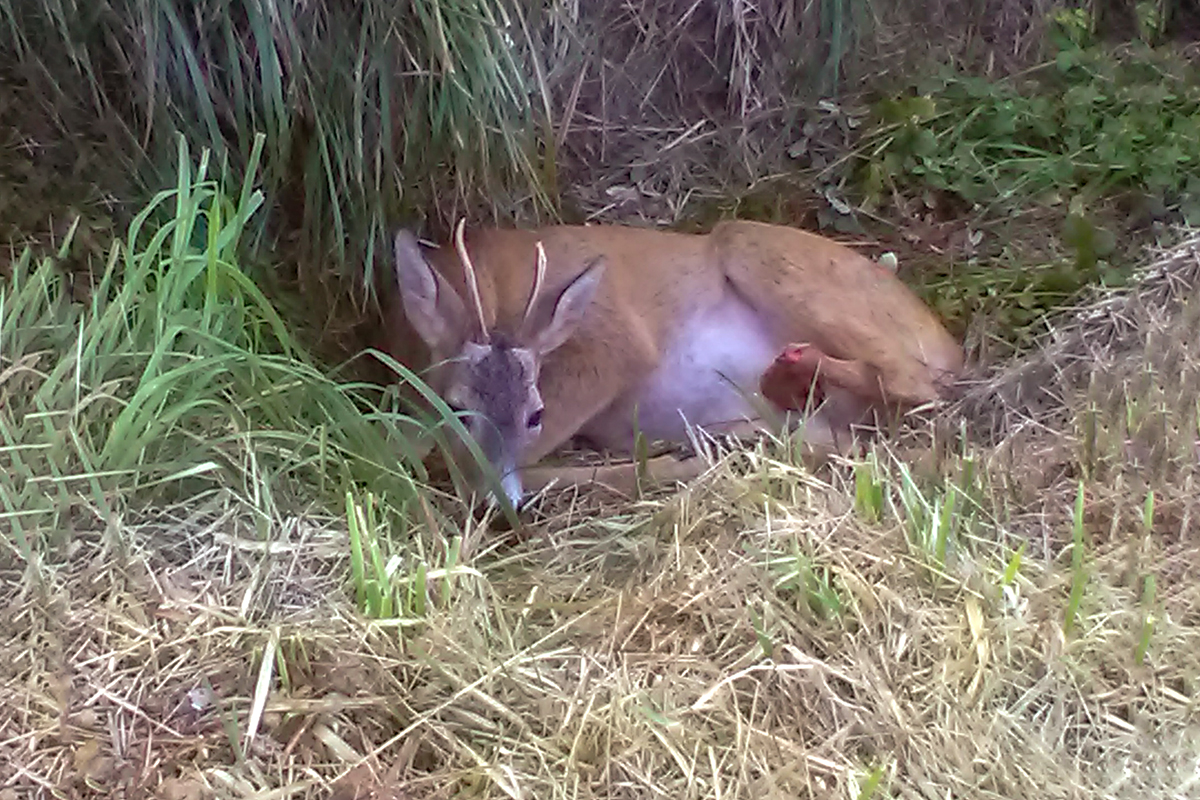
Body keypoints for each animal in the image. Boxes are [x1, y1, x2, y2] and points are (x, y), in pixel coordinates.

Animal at [386, 219, 964, 506]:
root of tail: (948, 342)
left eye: (536, 413)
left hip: (756, 248)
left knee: (917, 385)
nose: (495, 504)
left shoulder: (616, 338)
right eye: (457, 408)